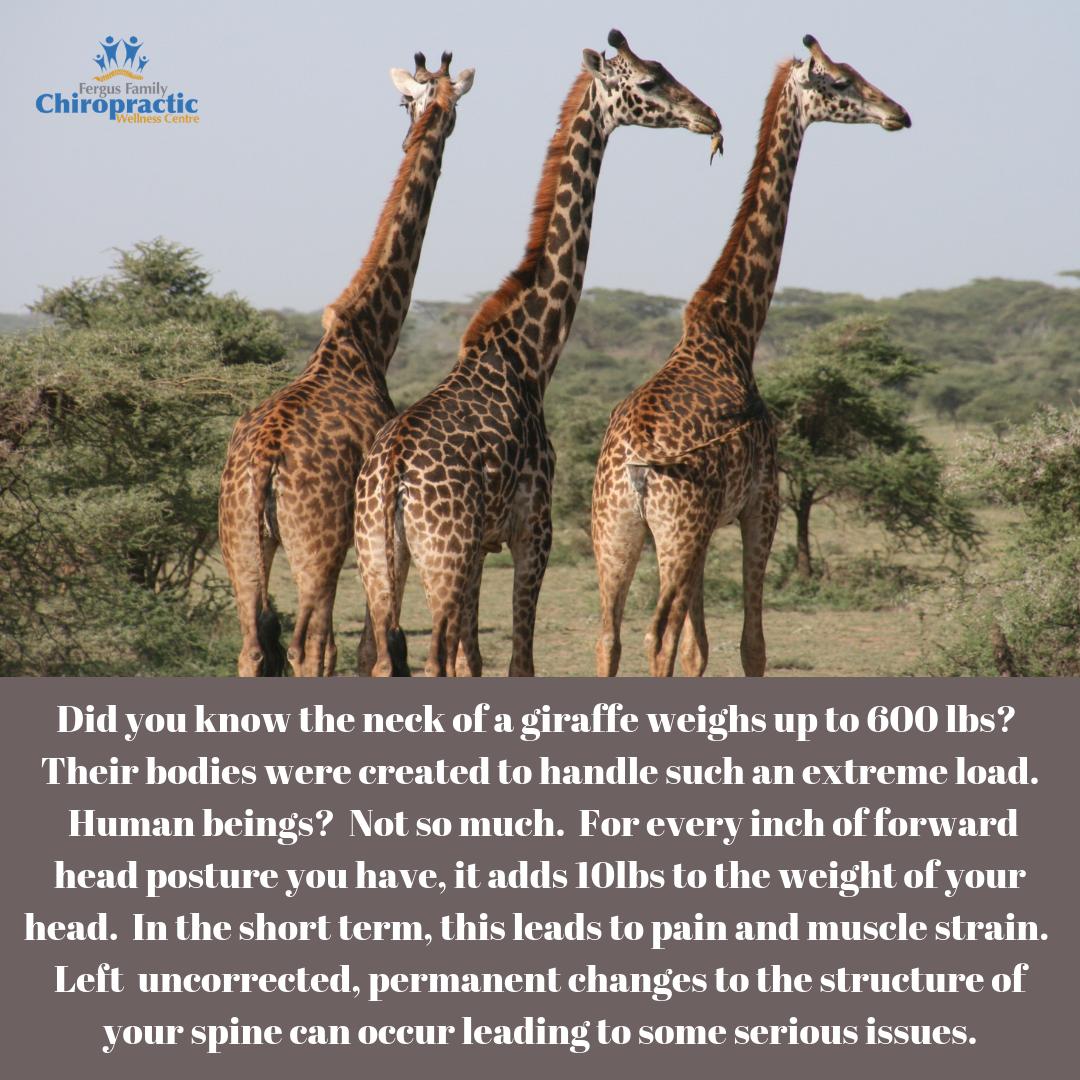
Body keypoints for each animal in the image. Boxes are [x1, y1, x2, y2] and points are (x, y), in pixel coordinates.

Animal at [218, 52, 474, 677]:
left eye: (411, 100)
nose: (421, 128)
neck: (368, 338)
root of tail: (264, 466)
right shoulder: (371, 533)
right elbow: (371, 646)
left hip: (239, 541)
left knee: (253, 647)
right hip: (317, 543)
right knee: (307, 646)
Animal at [354, 29, 720, 677]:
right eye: (648, 81)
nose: (708, 117)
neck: (529, 352)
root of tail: (391, 475)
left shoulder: (484, 544)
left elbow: (474, 660)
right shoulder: (535, 528)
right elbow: (518, 660)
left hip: (380, 557)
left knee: (383, 657)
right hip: (442, 554)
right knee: (429, 656)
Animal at [591, 34, 911, 678]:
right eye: (841, 81)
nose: (898, 113)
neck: (735, 330)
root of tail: (634, 466)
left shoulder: (714, 521)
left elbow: (700, 650)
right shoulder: (762, 504)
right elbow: (751, 644)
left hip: (616, 531)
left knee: (609, 637)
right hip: (677, 527)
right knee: (655, 637)